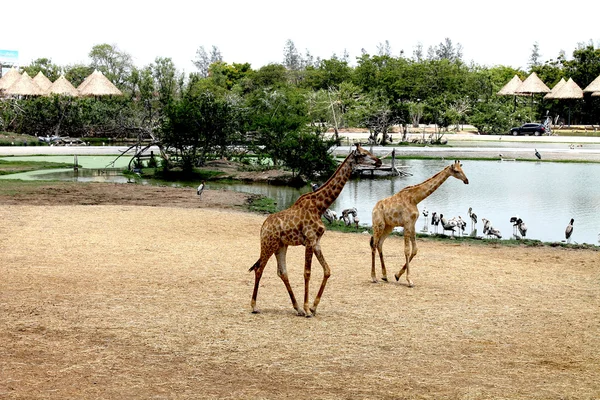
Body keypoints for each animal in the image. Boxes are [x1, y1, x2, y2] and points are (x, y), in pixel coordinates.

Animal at [247, 144, 380, 316]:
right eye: (363, 154)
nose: (379, 162)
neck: (319, 206)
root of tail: (263, 226)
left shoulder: (316, 242)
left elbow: (327, 270)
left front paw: (313, 307)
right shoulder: (309, 240)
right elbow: (307, 273)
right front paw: (307, 308)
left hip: (281, 246)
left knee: (282, 272)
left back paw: (297, 309)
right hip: (268, 244)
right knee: (259, 269)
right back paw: (255, 306)